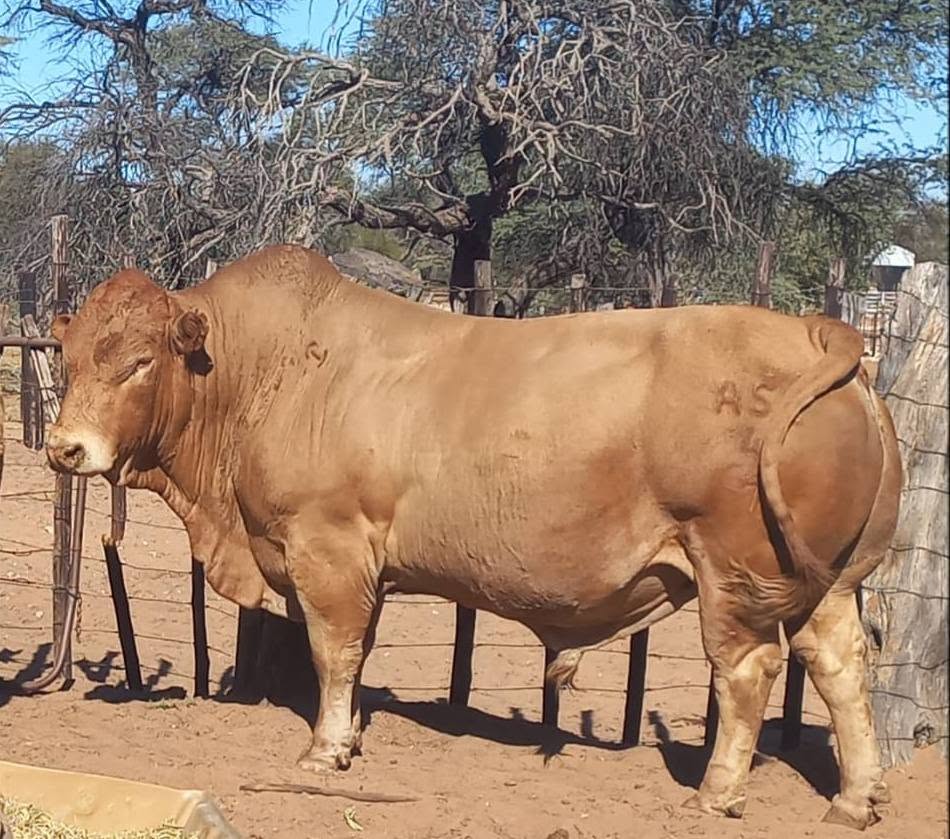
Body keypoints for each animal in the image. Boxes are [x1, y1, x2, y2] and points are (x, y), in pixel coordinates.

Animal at [46, 245, 901, 830]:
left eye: (139, 361)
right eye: (70, 354)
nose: (65, 448)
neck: (266, 372)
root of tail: (818, 334)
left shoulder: (328, 548)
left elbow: (334, 652)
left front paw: (326, 748)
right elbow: (354, 655)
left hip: (735, 570)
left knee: (747, 671)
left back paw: (717, 790)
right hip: (829, 581)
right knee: (840, 667)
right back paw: (855, 796)